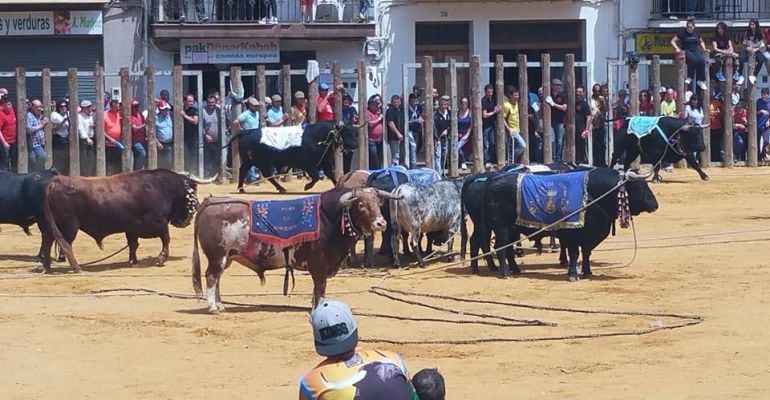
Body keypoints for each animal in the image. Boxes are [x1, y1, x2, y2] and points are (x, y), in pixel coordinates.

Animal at [43, 169, 214, 272]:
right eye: (193, 188)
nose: (197, 206)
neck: (162, 187)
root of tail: (54, 182)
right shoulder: (159, 222)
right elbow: (166, 238)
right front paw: (161, 258)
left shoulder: (131, 228)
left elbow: (133, 244)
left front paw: (133, 261)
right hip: (69, 226)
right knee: (66, 245)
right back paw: (76, 267)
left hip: (52, 227)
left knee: (47, 242)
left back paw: (47, 267)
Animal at [190, 188, 396, 312]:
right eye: (361, 204)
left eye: (378, 203)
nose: (382, 223)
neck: (328, 217)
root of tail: (210, 202)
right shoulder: (319, 266)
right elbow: (320, 288)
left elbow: (316, 291)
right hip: (217, 257)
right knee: (211, 277)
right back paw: (212, 307)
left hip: (227, 257)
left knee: (217, 279)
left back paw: (220, 304)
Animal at [226, 120, 358, 194]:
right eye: (346, 132)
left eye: (354, 132)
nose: (355, 145)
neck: (320, 137)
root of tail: (246, 132)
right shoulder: (308, 165)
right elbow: (316, 177)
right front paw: (307, 186)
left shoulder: (325, 162)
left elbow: (330, 175)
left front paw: (338, 188)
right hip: (256, 162)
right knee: (250, 172)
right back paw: (242, 189)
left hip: (254, 162)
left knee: (259, 173)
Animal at [474, 169, 656, 282]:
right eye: (640, 187)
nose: (655, 205)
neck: (592, 193)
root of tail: (492, 180)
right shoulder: (573, 233)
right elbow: (575, 253)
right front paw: (573, 275)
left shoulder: (588, 236)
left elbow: (586, 252)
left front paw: (587, 272)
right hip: (501, 228)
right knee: (500, 248)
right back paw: (505, 273)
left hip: (509, 229)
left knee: (505, 249)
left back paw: (514, 269)